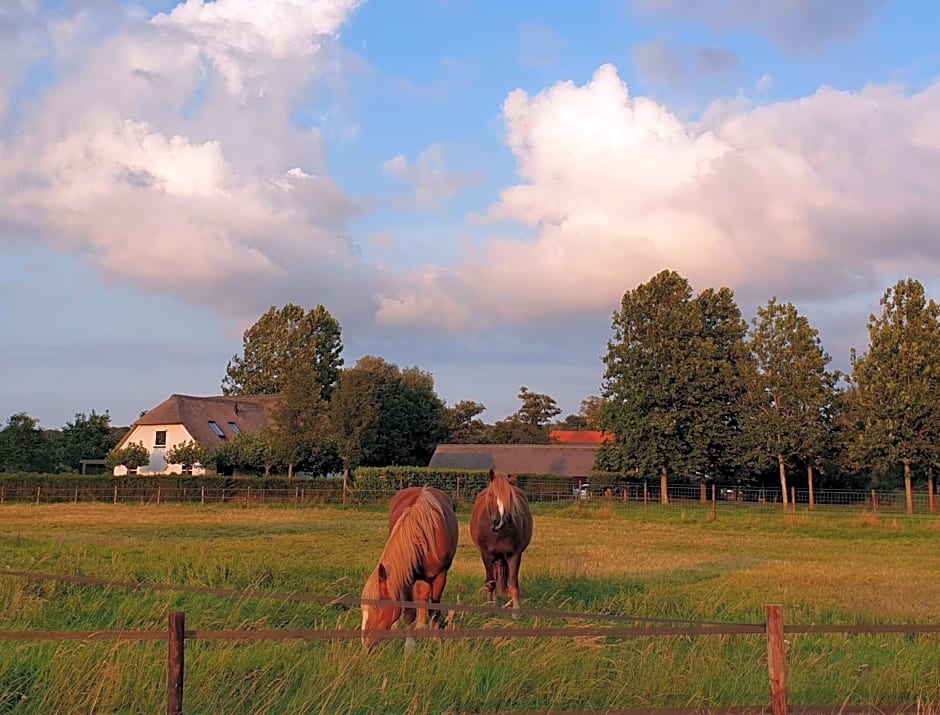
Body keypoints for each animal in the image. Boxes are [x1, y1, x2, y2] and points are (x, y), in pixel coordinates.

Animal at [360, 486, 458, 648]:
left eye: (376, 607)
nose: (365, 643)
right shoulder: (406, 577)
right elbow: (409, 611)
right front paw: (410, 644)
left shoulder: (440, 576)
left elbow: (434, 609)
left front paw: (436, 640)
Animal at [468, 470, 532, 608]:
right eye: (491, 494)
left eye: (509, 497)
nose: (499, 523)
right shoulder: (486, 554)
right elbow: (490, 583)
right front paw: (490, 605)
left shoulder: (514, 555)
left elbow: (513, 586)